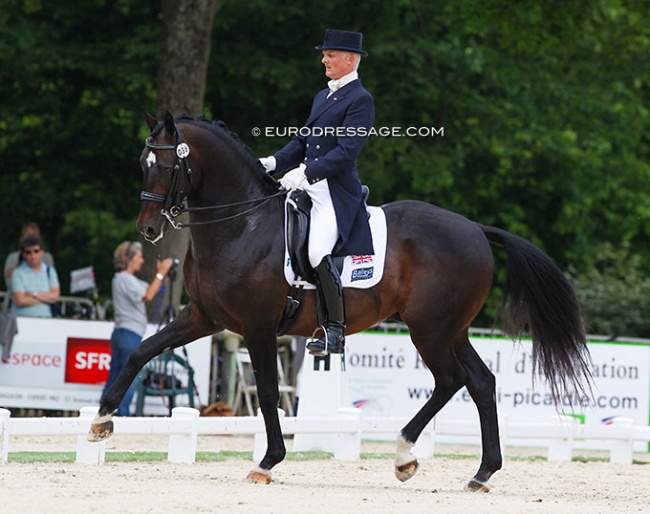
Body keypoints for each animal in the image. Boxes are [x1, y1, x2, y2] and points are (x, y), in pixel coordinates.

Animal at [87, 111, 592, 488]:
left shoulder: (257, 326)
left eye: (166, 166)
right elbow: (142, 350)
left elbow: (267, 392)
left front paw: (267, 462)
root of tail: (475, 230)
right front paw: (101, 419)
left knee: (450, 380)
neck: (241, 225)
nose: (148, 230)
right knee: (481, 383)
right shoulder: (204, 317)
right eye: (142, 163)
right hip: (452, 329)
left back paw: (404, 455)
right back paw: (482, 473)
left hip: (429, 329)